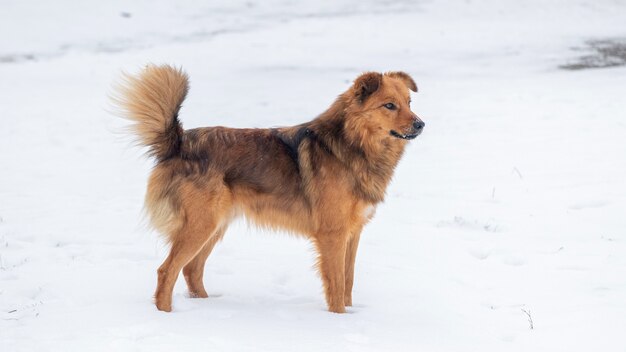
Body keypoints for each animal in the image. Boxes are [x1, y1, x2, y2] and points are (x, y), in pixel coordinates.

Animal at [113, 65, 424, 314]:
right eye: (389, 106)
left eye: (409, 102)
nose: (421, 124)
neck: (351, 144)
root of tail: (179, 143)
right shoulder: (332, 235)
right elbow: (336, 284)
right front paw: (339, 320)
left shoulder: (353, 232)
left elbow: (348, 280)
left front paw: (350, 314)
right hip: (201, 225)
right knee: (167, 270)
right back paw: (167, 315)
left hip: (215, 225)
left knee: (191, 269)